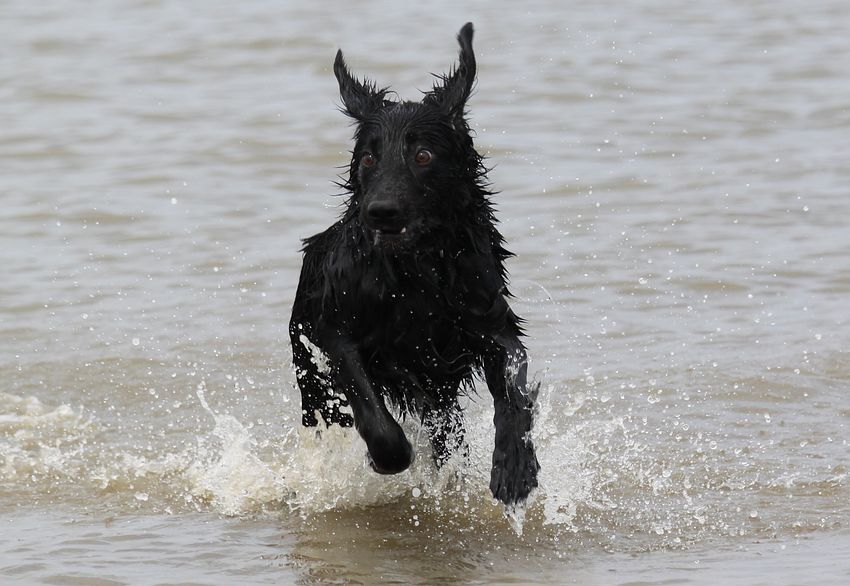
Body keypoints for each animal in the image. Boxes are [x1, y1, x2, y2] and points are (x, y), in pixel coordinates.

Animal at [289, 23, 539, 506]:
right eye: (369, 158)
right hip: (313, 379)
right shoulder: (336, 332)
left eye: (422, 155)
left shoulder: (491, 323)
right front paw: (387, 458)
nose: (380, 213)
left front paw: (515, 467)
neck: (417, 273)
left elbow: (514, 388)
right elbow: (376, 418)